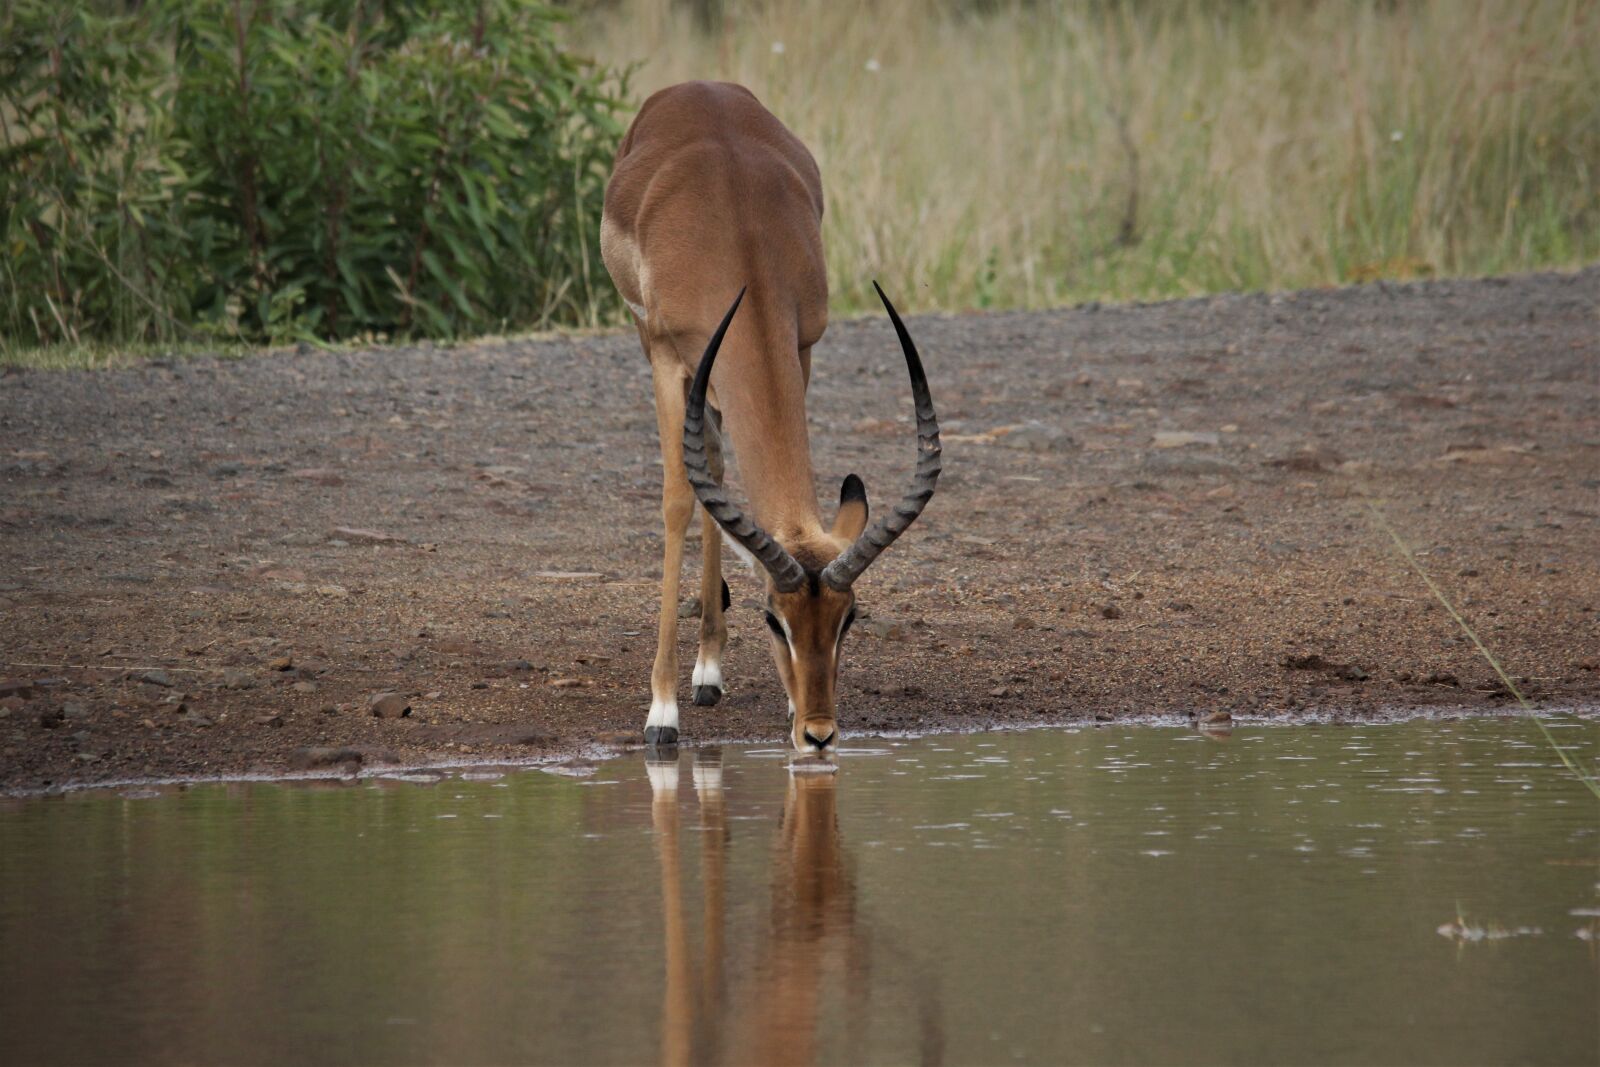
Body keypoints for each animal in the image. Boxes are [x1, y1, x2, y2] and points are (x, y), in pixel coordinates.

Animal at [600, 81, 941, 751]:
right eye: (772, 619)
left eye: (849, 617)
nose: (819, 732)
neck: (740, 238)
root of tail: (695, 86)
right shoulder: (665, 357)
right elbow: (678, 501)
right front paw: (661, 711)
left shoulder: (801, 346)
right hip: (653, 343)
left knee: (715, 463)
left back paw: (710, 671)